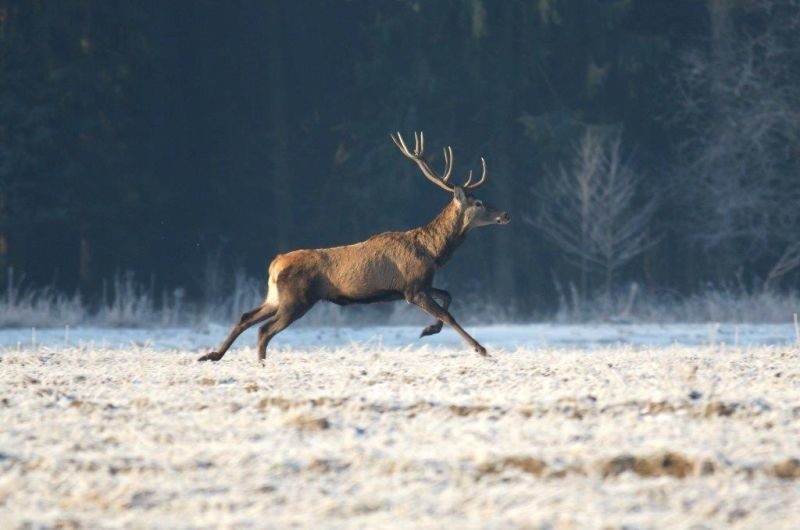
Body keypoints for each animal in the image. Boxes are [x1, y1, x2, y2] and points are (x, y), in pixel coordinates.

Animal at [200, 132, 512, 364]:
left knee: (246, 317)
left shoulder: (417, 285)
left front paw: (428, 329)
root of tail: (275, 264)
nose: (505, 215)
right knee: (264, 330)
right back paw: (259, 363)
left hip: (276, 296)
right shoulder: (412, 288)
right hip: (296, 299)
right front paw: (481, 350)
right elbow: (448, 314)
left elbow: (448, 295)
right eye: (479, 203)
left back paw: (212, 355)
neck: (433, 252)